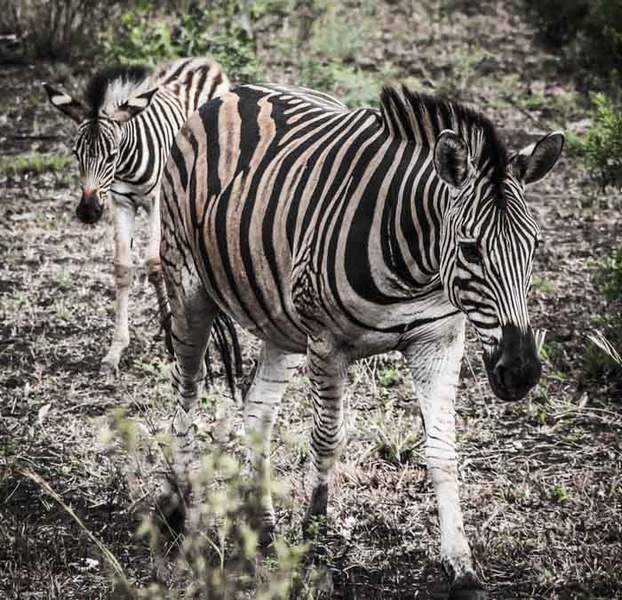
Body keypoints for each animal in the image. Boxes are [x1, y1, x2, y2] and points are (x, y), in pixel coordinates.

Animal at [42, 57, 230, 376]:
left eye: (112, 154)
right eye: (76, 153)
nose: (88, 212)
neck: (127, 165)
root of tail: (202, 60)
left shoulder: (156, 201)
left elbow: (155, 263)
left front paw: (171, 339)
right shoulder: (119, 202)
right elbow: (122, 268)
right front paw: (115, 350)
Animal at [157, 82, 564, 596]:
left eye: (534, 247)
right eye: (471, 249)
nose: (521, 372)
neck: (418, 268)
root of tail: (240, 90)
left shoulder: (439, 340)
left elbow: (442, 451)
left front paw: (461, 566)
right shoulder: (327, 344)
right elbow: (327, 442)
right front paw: (314, 550)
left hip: (281, 324)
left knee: (257, 411)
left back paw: (263, 528)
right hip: (188, 286)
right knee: (186, 396)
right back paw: (179, 510)